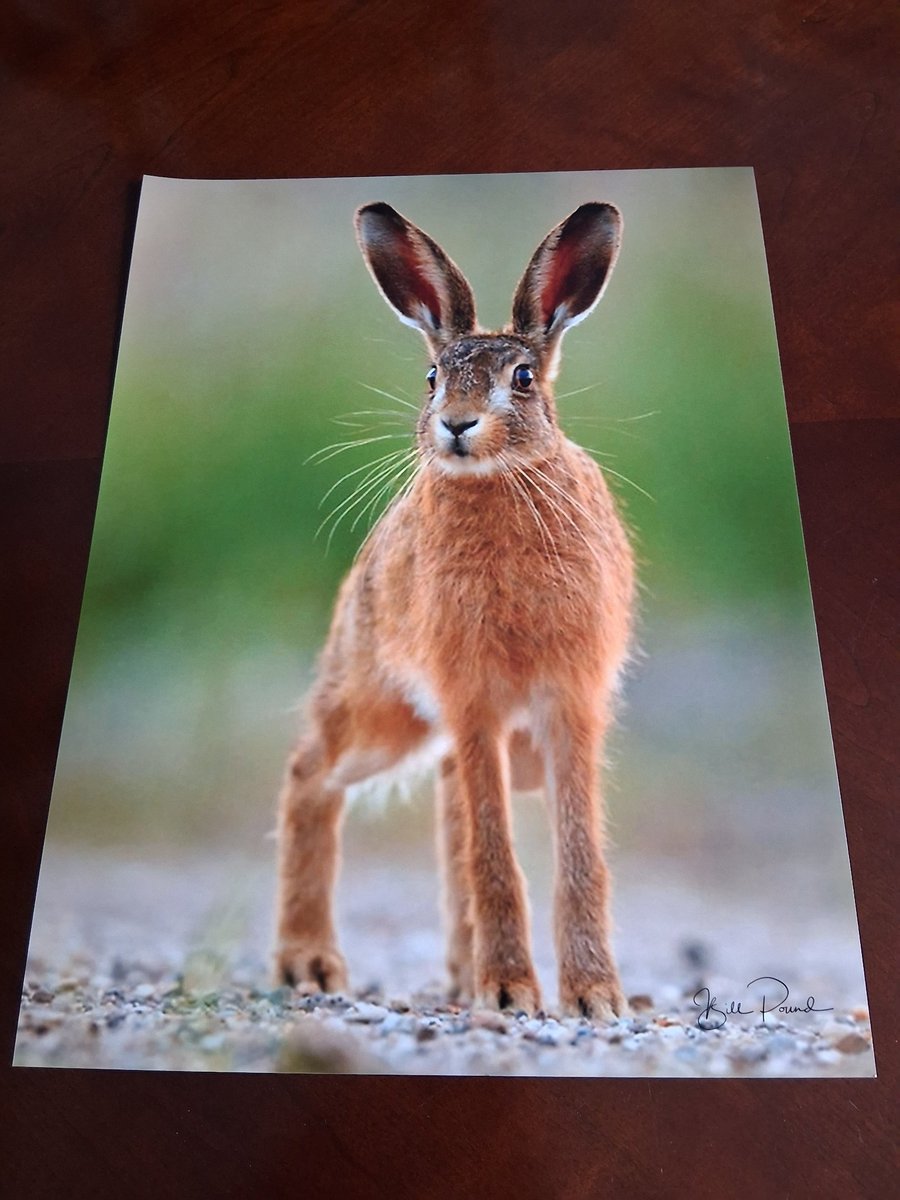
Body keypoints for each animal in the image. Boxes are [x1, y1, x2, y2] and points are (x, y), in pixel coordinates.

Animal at [275, 200, 634, 1019]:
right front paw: (509, 993)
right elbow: (492, 852)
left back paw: (461, 974)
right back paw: (309, 962)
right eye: (433, 376)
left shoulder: (570, 702)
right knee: (310, 776)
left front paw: (595, 998)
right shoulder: (471, 700)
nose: (458, 425)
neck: (503, 480)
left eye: (523, 378)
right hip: (382, 709)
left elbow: (579, 855)